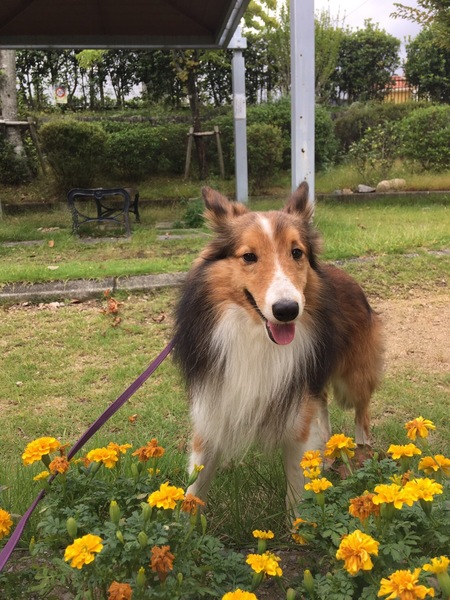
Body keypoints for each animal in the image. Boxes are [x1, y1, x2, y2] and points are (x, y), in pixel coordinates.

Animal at [173, 182, 383, 510]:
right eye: (248, 256)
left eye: (296, 253)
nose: (287, 310)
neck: (255, 336)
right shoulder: (214, 405)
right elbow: (197, 482)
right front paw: (183, 519)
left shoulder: (298, 414)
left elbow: (297, 490)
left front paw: (300, 522)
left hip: (353, 379)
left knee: (361, 411)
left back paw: (362, 448)